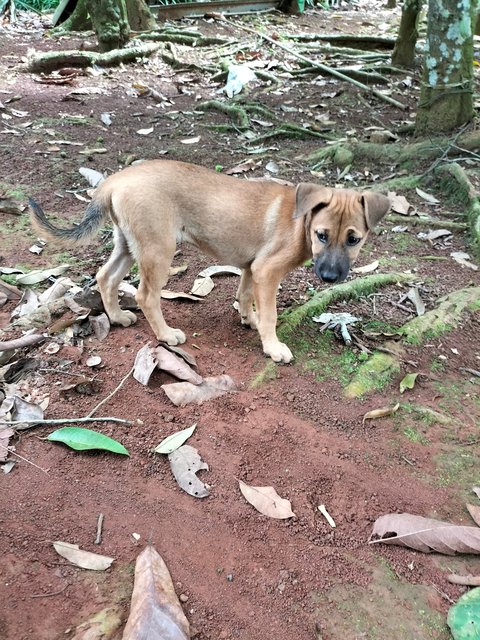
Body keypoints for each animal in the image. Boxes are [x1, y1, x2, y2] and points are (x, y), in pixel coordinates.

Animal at [29, 159, 390, 362]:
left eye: (354, 239)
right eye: (322, 235)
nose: (330, 277)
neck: (300, 220)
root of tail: (114, 181)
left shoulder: (252, 267)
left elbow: (245, 296)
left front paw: (249, 320)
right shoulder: (267, 270)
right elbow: (271, 314)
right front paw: (273, 347)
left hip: (129, 244)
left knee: (106, 277)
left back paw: (117, 317)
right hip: (158, 249)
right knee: (146, 295)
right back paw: (166, 335)